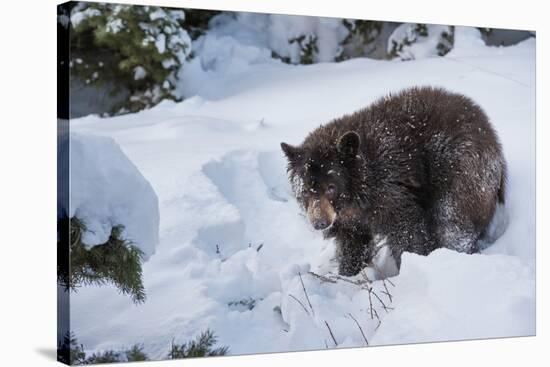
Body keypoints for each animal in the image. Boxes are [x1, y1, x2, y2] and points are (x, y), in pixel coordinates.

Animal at [284, 86, 508, 276]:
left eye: (331, 187)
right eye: (305, 190)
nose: (319, 222)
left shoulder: (390, 189)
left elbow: (407, 231)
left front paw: (409, 268)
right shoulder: (349, 220)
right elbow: (353, 243)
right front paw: (348, 273)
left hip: (461, 171)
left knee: (452, 222)